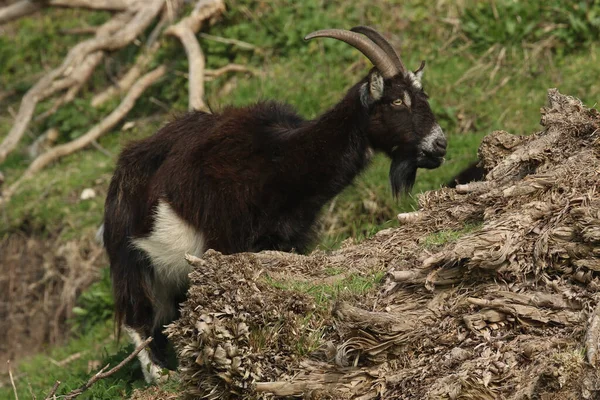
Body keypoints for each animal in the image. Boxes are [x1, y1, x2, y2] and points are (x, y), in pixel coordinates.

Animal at [102, 25, 446, 382]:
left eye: (423, 97)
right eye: (396, 100)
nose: (440, 145)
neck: (278, 160)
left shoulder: (289, 240)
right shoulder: (227, 241)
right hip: (132, 260)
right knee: (137, 317)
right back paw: (159, 374)